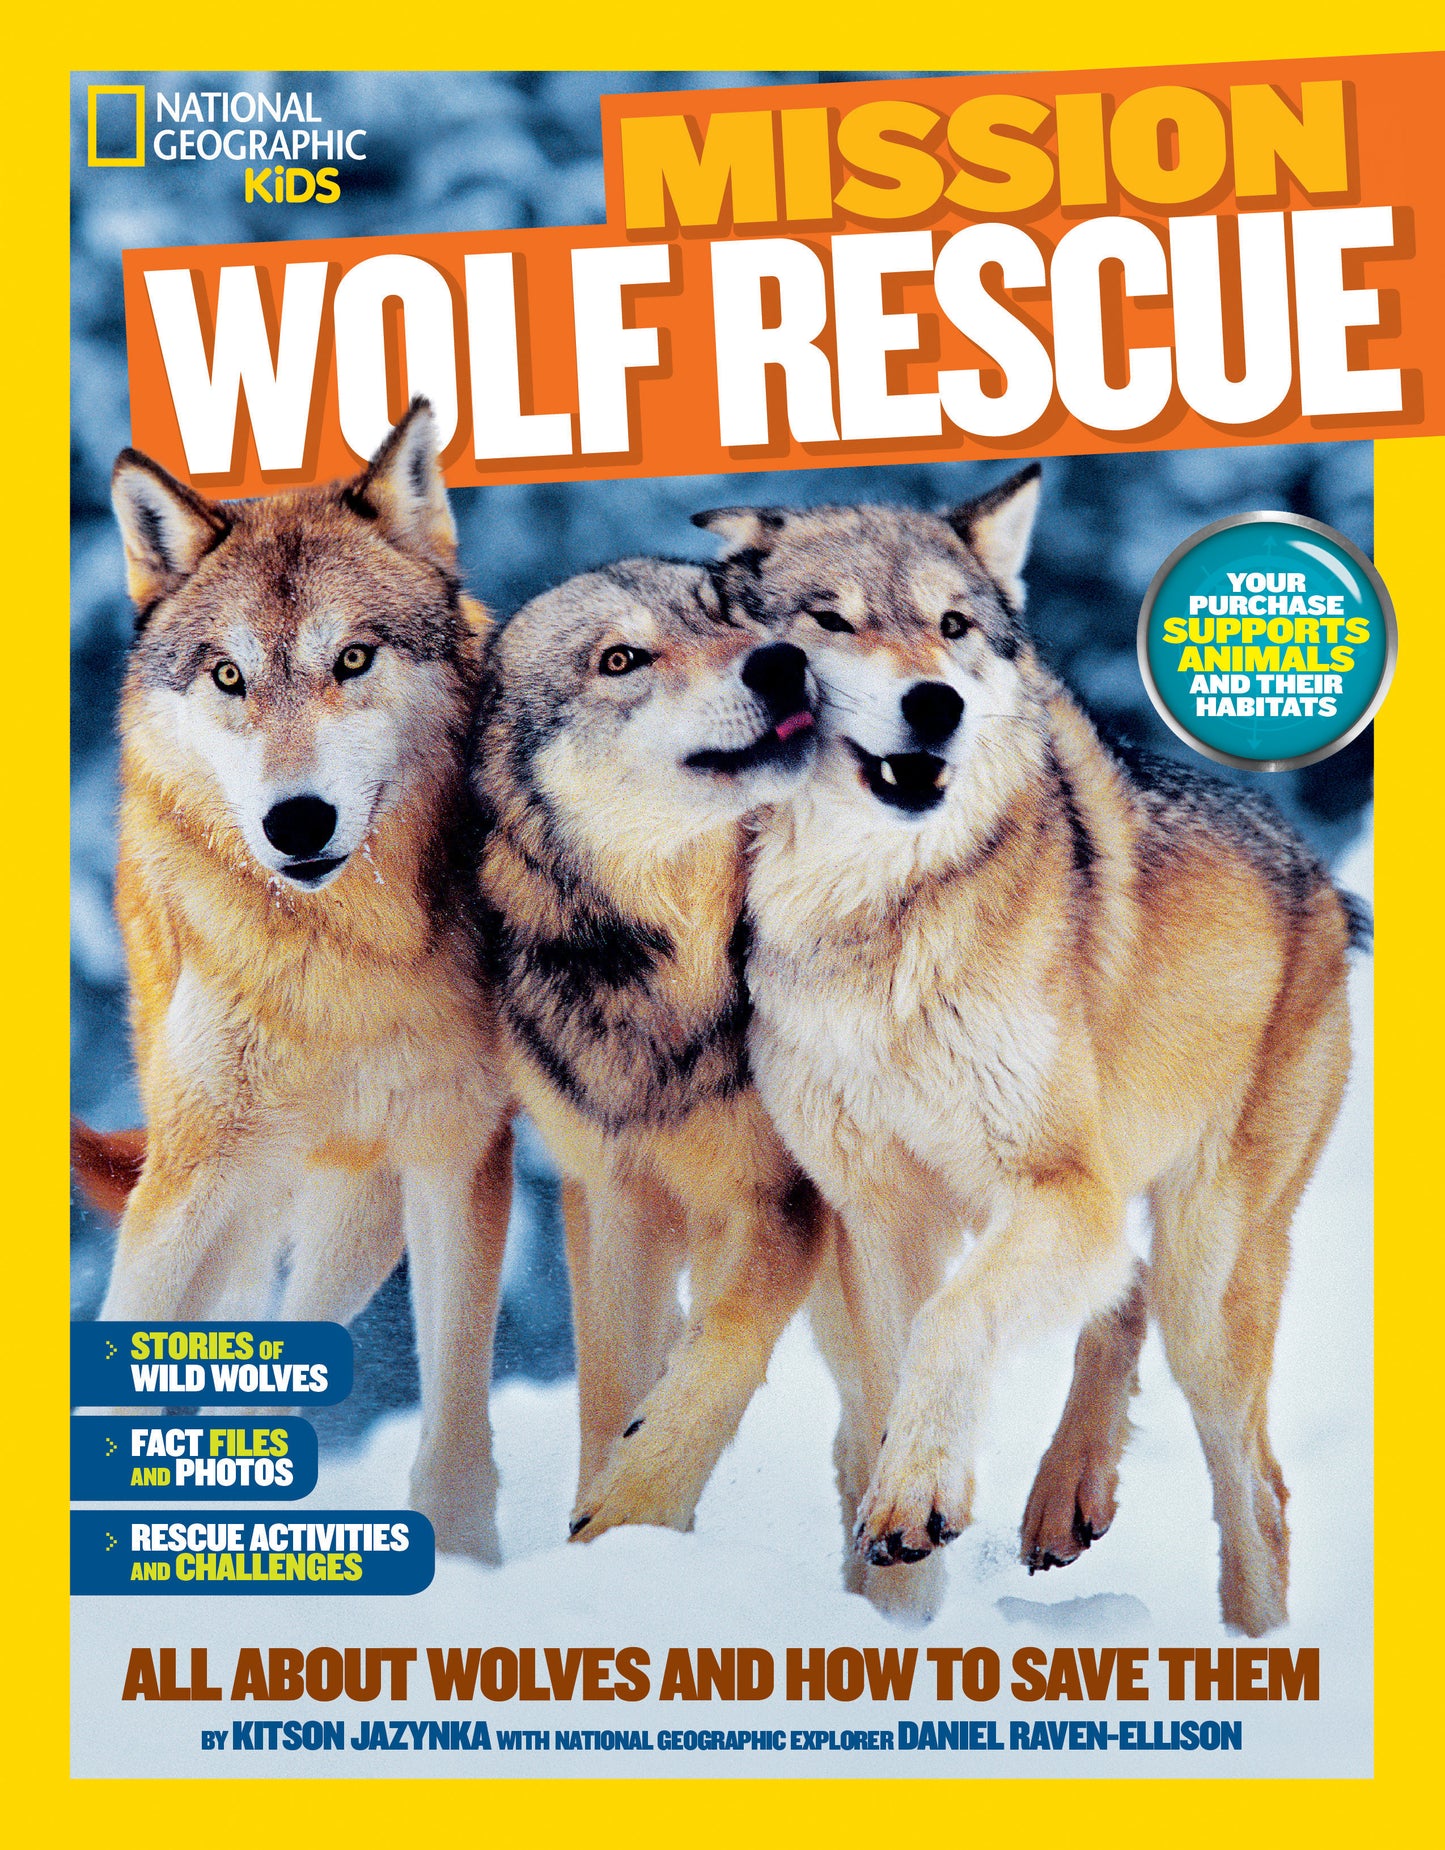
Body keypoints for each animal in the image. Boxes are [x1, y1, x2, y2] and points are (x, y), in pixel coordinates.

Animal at [91, 399, 513, 1559]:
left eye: (354, 657)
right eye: (230, 675)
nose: (297, 821)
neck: (349, 961)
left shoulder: (460, 1156)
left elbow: (455, 1428)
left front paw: (465, 1565)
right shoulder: (189, 1179)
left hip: (356, 1221)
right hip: (236, 1192)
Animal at [473, 559, 828, 1540]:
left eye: (729, 617)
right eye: (621, 659)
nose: (782, 663)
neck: (676, 971)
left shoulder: (779, 1200)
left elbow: (720, 1350)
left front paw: (632, 1510)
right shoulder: (615, 1198)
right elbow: (610, 1386)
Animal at [698, 470, 1364, 1634]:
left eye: (953, 626)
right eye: (831, 619)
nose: (936, 703)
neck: (873, 917)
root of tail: (1320, 876)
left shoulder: (1056, 1188)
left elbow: (950, 1326)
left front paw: (916, 1498)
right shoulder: (879, 1215)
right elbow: (892, 1378)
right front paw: (897, 1618)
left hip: (1207, 1284)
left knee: (1259, 1493)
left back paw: (1256, 1645)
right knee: (1119, 1292)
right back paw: (1066, 1495)